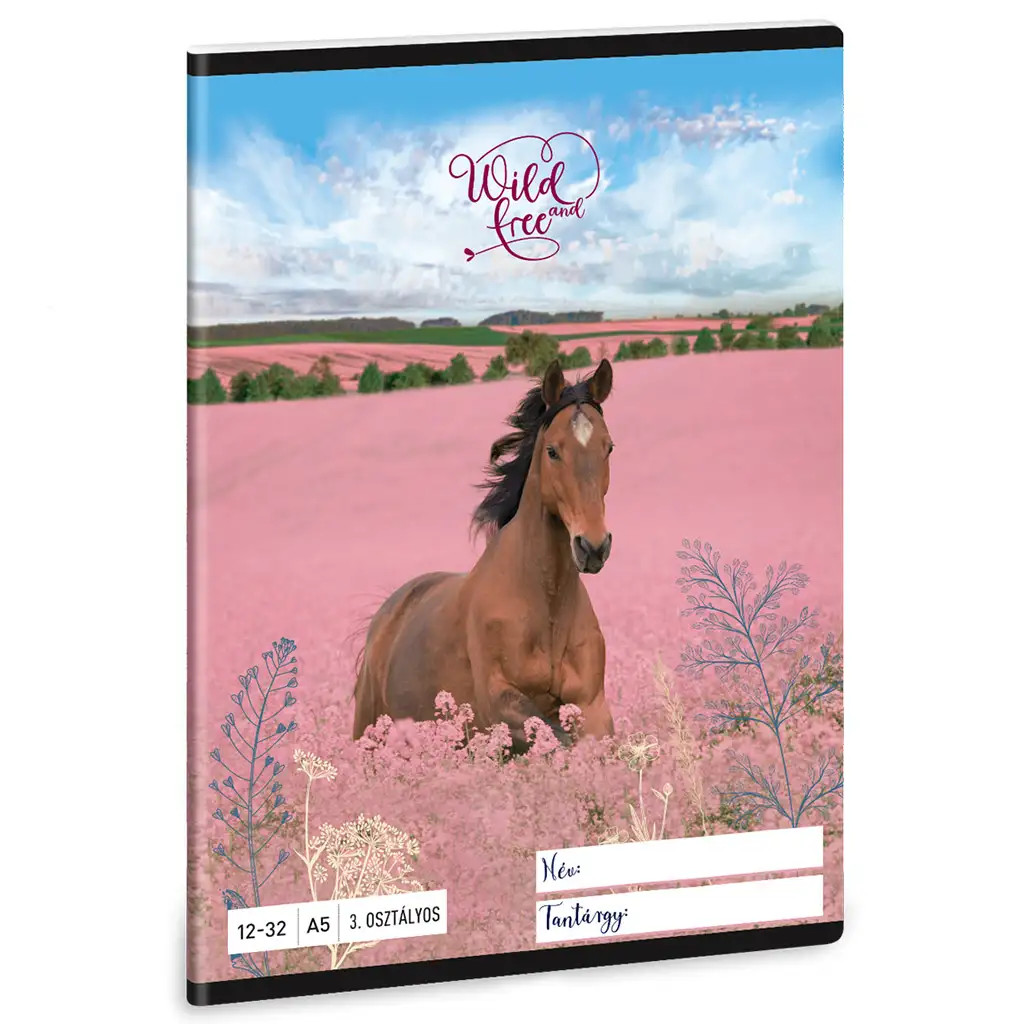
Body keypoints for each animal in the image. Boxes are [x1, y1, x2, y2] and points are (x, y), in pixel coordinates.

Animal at [352, 357, 616, 755]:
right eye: (553, 451)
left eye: (609, 447)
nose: (594, 547)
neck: (546, 604)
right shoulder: (498, 703)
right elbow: (558, 738)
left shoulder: (592, 703)